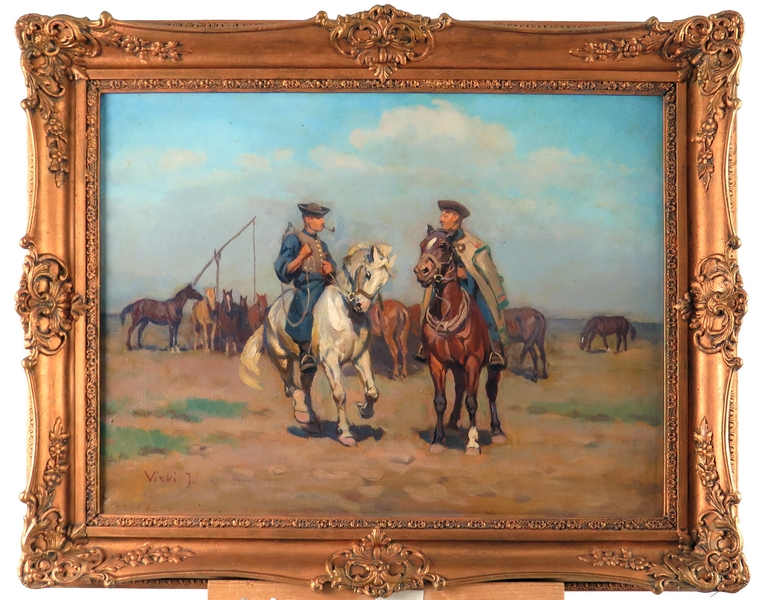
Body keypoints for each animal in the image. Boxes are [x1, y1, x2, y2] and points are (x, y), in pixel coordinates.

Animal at [240, 244, 396, 447]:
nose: (360, 305)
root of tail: (270, 311)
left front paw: (365, 410)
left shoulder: (361, 357)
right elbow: (339, 394)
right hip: (281, 357)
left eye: (383, 282)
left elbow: (372, 392)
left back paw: (312, 422)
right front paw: (345, 433)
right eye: (368, 274)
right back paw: (301, 412)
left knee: (304, 386)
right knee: (290, 386)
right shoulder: (330, 360)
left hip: (308, 365)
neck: (346, 313)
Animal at [414, 226, 504, 455]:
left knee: (491, 392)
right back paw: (453, 423)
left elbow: (472, 401)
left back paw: (497, 431)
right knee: (460, 388)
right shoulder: (437, 363)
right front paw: (437, 439)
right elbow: (440, 401)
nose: (422, 271)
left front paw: (473, 443)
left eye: (442, 246)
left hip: (492, 366)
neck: (447, 312)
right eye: (422, 245)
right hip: (456, 366)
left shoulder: (473, 363)